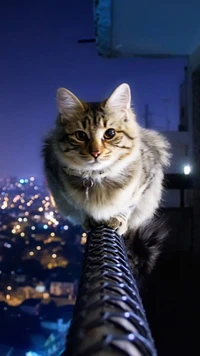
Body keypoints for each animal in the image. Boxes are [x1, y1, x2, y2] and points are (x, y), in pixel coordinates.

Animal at [42, 82, 170, 278]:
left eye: (110, 133)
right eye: (80, 135)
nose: (95, 152)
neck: (98, 177)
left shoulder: (147, 180)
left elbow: (128, 204)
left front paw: (118, 219)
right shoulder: (58, 184)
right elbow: (82, 207)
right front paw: (90, 219)